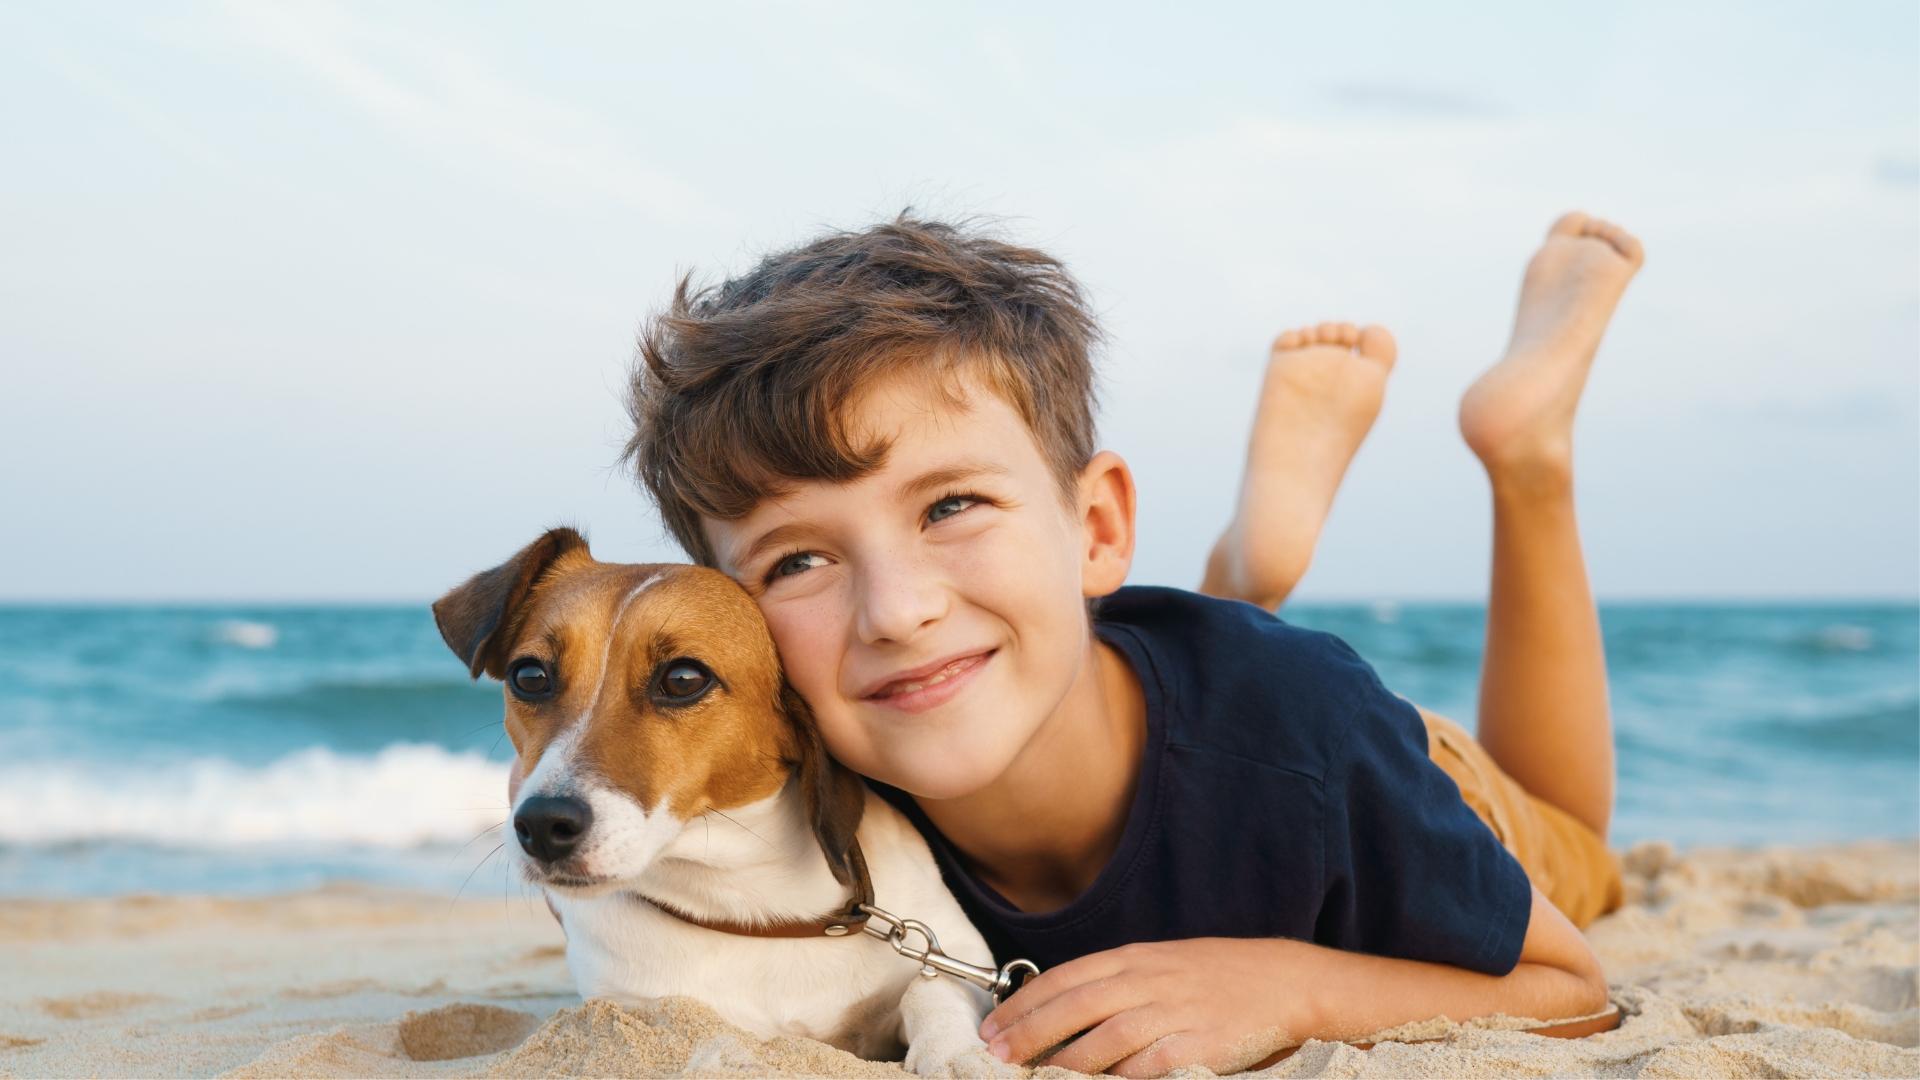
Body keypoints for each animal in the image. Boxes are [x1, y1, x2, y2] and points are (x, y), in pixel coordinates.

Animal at [432, 522, 1006, 1068]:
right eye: (529, 676)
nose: (543, 826)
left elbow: (929, 990)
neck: (750, 902)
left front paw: (954, 1053)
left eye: (684, 678)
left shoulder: (959, 959)